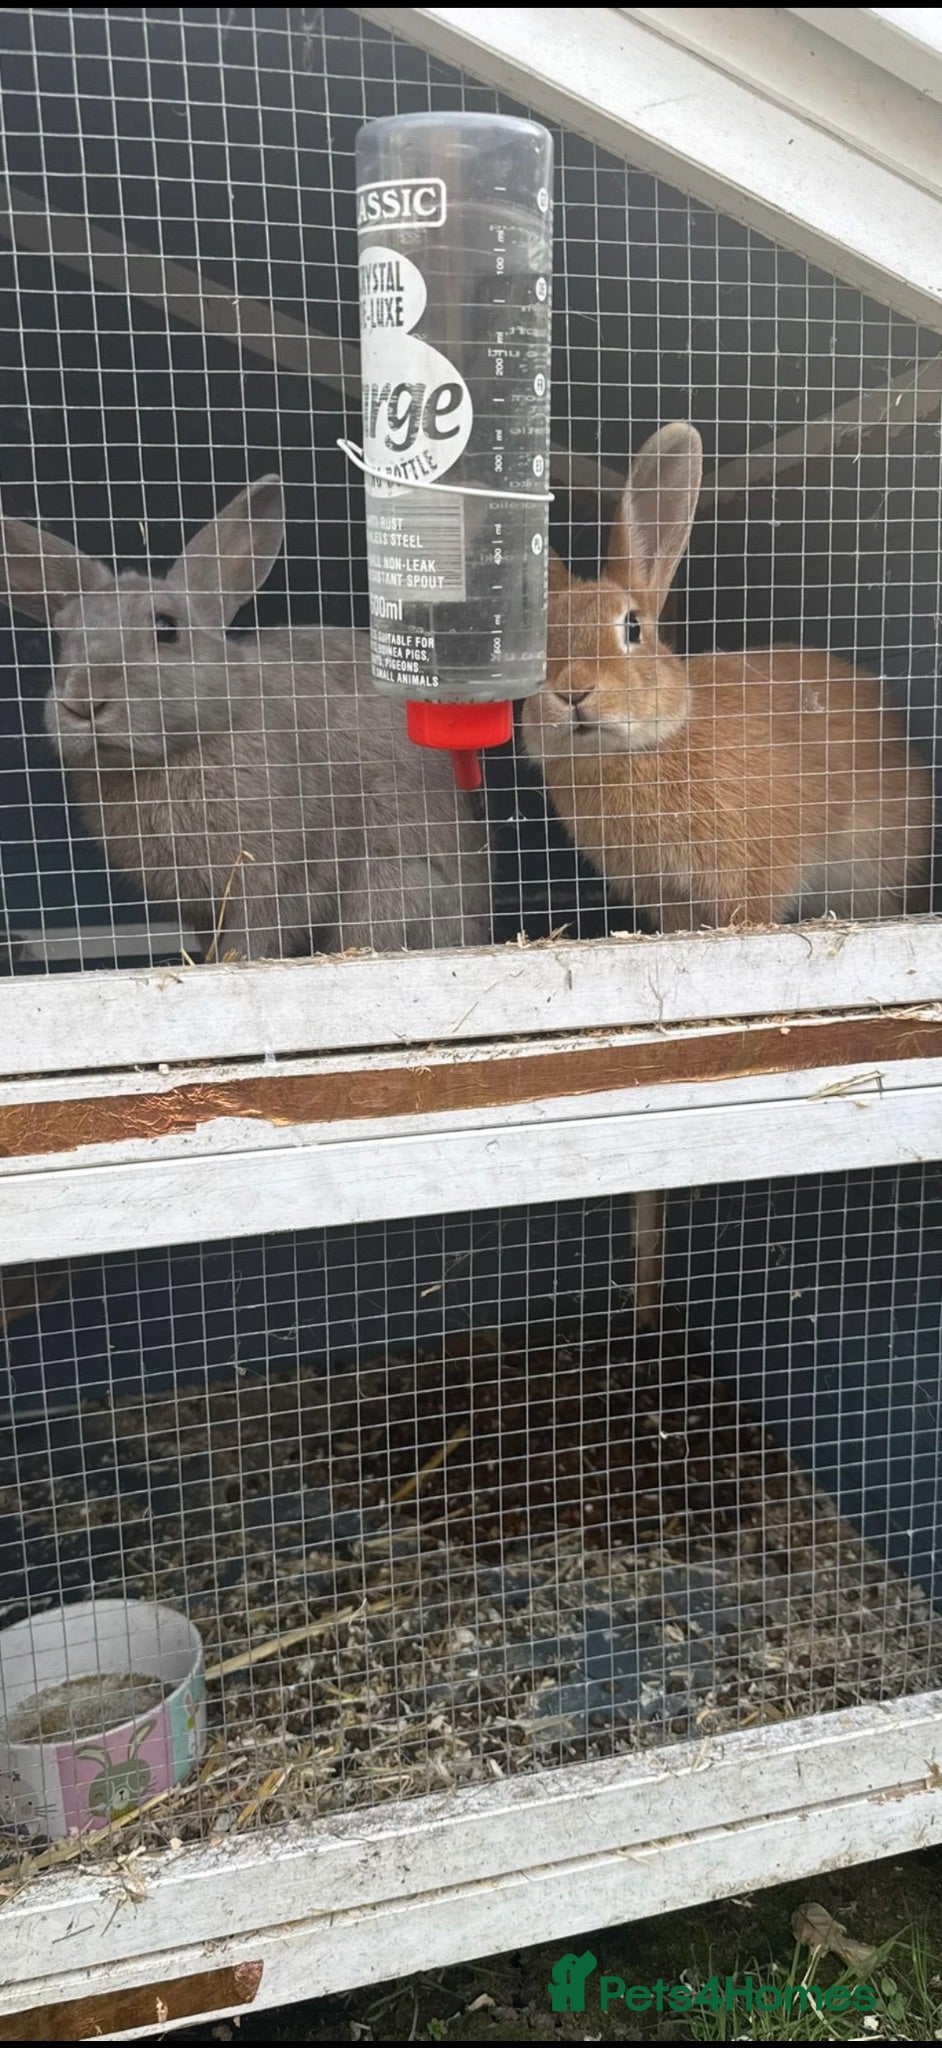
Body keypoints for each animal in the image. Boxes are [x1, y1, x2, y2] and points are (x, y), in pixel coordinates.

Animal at [0, 479, 492, 962]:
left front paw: (234, 962)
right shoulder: (198, 905)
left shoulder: (282, 874)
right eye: (63, 635)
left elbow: (256, 936)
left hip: (396, 888)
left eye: (166, 628)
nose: (83, 701)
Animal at [522, 419, 934, 1321]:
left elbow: (753, 911)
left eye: (633, 628)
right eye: (537, 643)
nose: (571, 694)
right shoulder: (665, 896)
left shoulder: (755, 870)